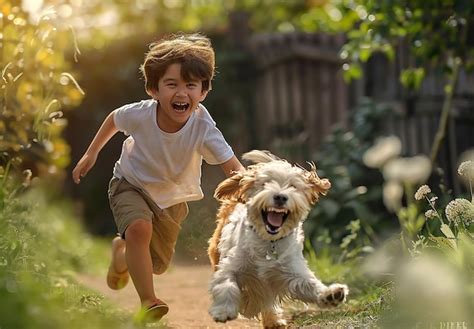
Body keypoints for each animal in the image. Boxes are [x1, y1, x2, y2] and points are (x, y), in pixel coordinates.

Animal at [207, 150, 348, 326]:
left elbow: (309, 284)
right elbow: (226, 284)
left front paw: (330, 294)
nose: (280, 197)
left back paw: (273, 320)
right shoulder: (231, 264)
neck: (269, 242)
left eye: (293, 186)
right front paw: (224, 311)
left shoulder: (292, 270)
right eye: (265, 183)